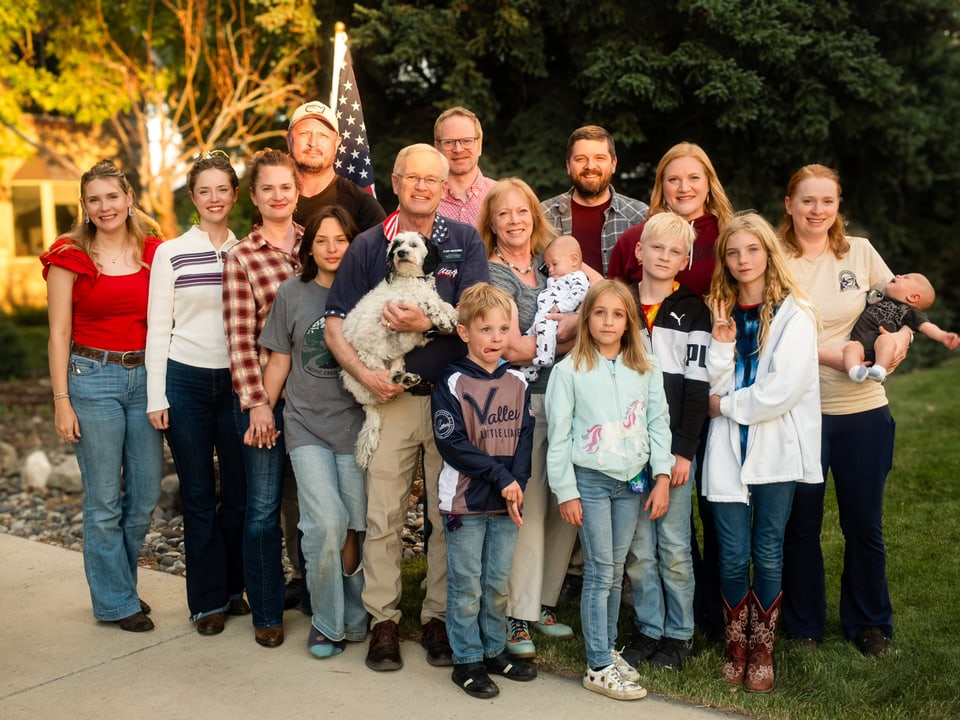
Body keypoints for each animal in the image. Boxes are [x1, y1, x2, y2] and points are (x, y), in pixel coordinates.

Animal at [344, 232, 460, 466]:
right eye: (396, 246)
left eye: (413, 245)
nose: (401, 253)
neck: (412, 280)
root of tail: (366, 405)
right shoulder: (401, 304)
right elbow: (428, 304)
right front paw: (441, 319)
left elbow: (444, 304)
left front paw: (452, 315)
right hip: (368, 361)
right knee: (387, 378)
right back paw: (400, 379)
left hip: (397, 356)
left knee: (397, 370)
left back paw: (406, 377)